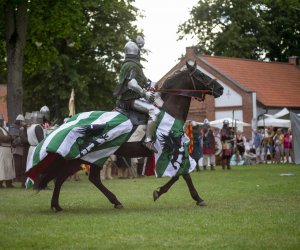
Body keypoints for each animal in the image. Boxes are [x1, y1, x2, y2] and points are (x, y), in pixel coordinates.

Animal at [27, 60, 224, 211]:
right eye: (202, 76)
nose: (220, 89)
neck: (168, 110)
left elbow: (180, 175)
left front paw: (163, 192)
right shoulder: (171, 150)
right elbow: (182, 174)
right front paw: (193, 197)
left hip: (96, 156)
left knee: (90, 178)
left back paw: (111, 202)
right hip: (81, 157)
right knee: (63, 177)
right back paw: (58, 205)